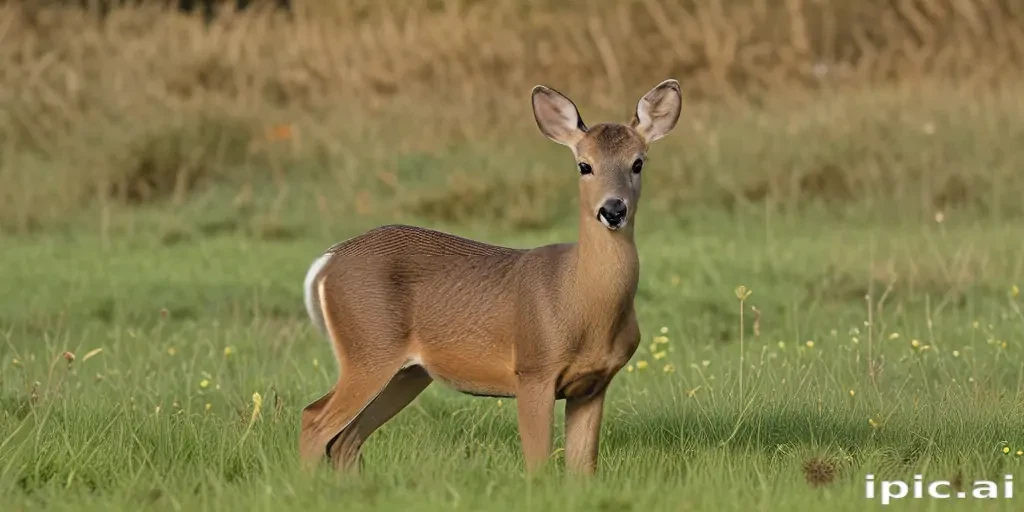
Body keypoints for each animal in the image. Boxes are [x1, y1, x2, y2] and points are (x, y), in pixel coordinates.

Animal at [299, 79, 682, 475]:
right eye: (584, 165)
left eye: (637, 163)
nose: (613, 209)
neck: (578, 299)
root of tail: (327, 260)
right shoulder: (533, 369)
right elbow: (538, 462)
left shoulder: (593, 385)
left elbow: (581, 470)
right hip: (369, 350)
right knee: (314, 419)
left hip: (407, 372)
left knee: (345, 439)